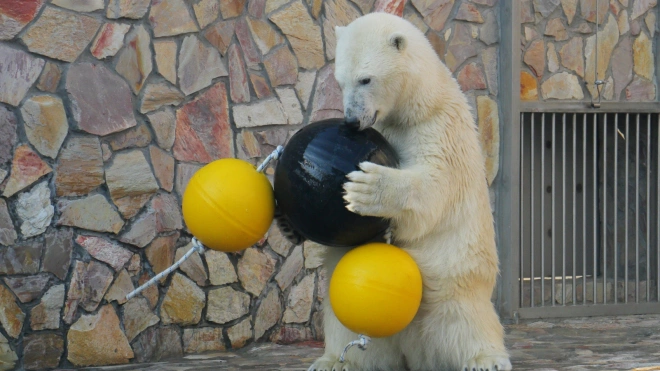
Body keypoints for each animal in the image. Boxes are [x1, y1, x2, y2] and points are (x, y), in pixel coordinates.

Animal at [306, 13, 512, 371]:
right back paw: (332, 360)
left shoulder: (438, 128)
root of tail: (411, 351)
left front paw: (366, 188)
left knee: (465, 321)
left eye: (366, 79)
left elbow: (434, 185)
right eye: (341, 81)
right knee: (347, 329)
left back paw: (486, 358)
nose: (351, 120)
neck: (415, 105)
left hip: (454, 284)